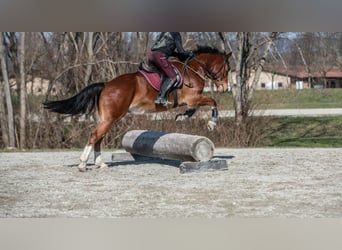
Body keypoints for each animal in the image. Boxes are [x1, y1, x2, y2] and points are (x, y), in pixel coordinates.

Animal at [42, 46, 230, 171]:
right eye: (227, 69)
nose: (226, 88)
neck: (193, 69)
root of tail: (106, 85)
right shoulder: (193, 98)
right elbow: (213, 102)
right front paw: (211, 124)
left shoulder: (192, 100)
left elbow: (196, 108)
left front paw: (183, 116)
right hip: (113, 117)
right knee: (95, 135)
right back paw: (82, 164)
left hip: (107, 118)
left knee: (98, 137)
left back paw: (100, 163)